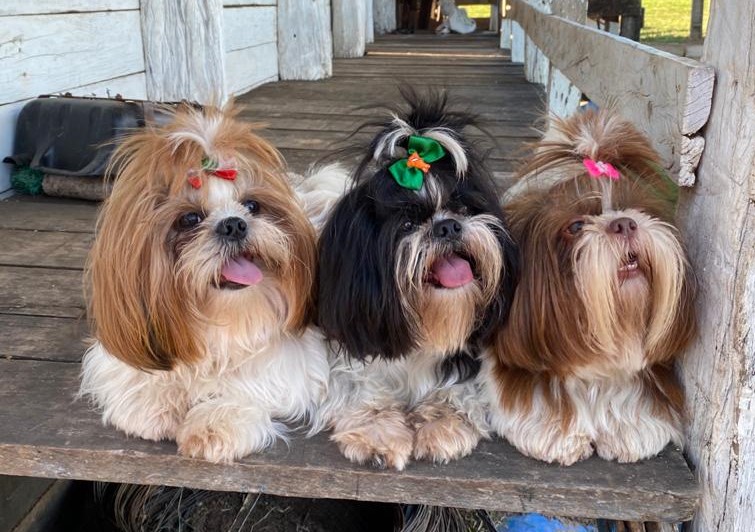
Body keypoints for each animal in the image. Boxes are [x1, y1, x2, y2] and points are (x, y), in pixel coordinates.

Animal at [79, 104, 328, 462]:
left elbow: (251, 384)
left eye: (252, 206)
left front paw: (214, 423)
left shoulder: (291, 364)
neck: (223, 319)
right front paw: (152, 400)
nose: (234, 224)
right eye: (189, 218)